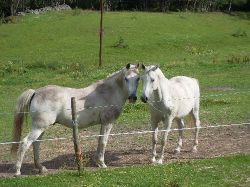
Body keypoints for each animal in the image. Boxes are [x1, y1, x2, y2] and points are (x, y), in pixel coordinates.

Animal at [11, 63, 141, 175]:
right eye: (126, 78)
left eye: (138, 78)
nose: (133, 98)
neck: (108, 91)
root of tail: (35, 92)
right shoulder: (107, 123)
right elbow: (103, 142)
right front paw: (103, 164)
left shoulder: (103, 124)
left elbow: (99, 141)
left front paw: (98, 163)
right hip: (39, 127)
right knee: (25, 143)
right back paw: (17, 171)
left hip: (41, 128)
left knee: (36, 144)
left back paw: (41, 168)